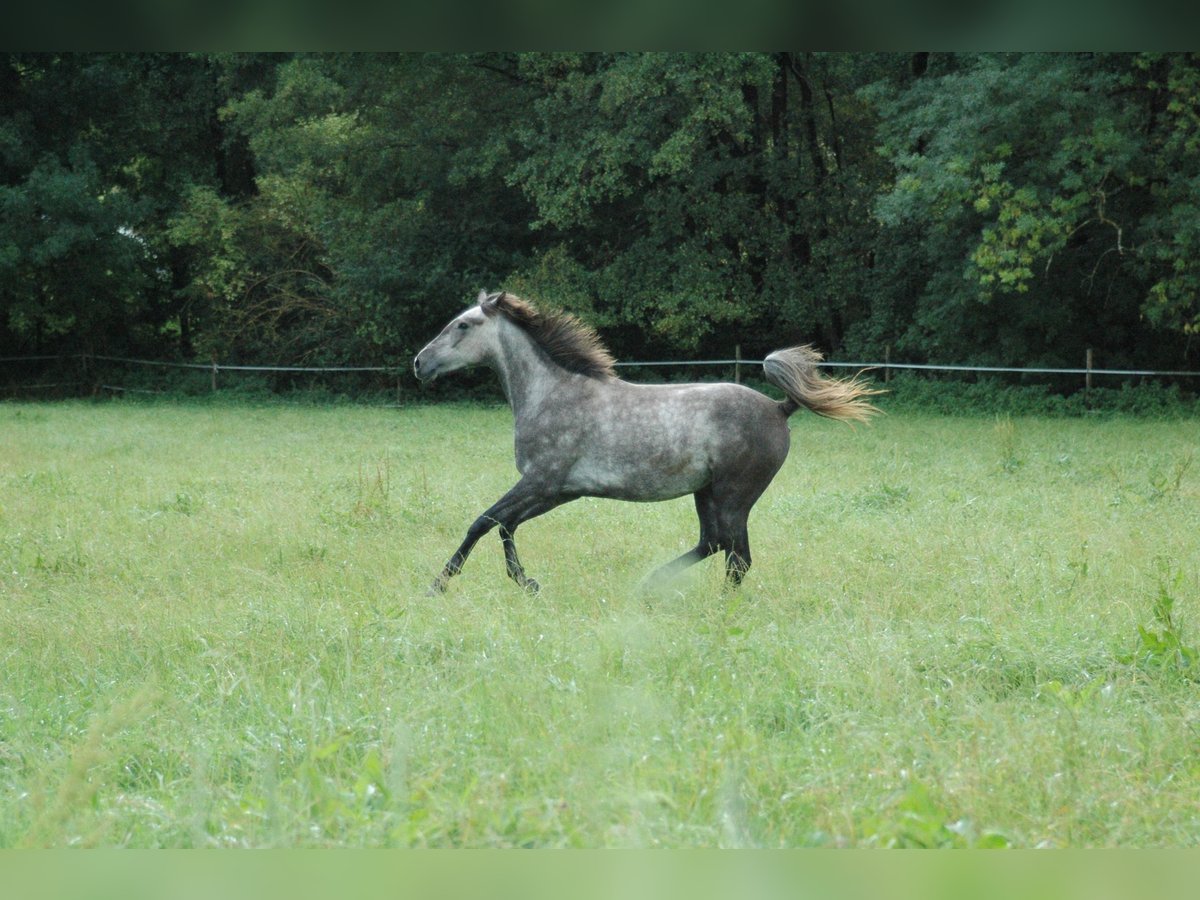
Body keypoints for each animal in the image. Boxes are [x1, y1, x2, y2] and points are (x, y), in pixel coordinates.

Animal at [413, 290, 880, 594]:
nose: (419, 362)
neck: (553, 393)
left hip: (734, 494)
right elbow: (505, 524)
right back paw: (650, 585)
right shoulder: (559, 490)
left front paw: (439, 584)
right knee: (716, 544)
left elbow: (483, 521)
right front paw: (526, 581)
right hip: (707, 492)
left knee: (736, 556)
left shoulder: (541, 481)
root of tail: (779, 408)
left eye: (463, 325)